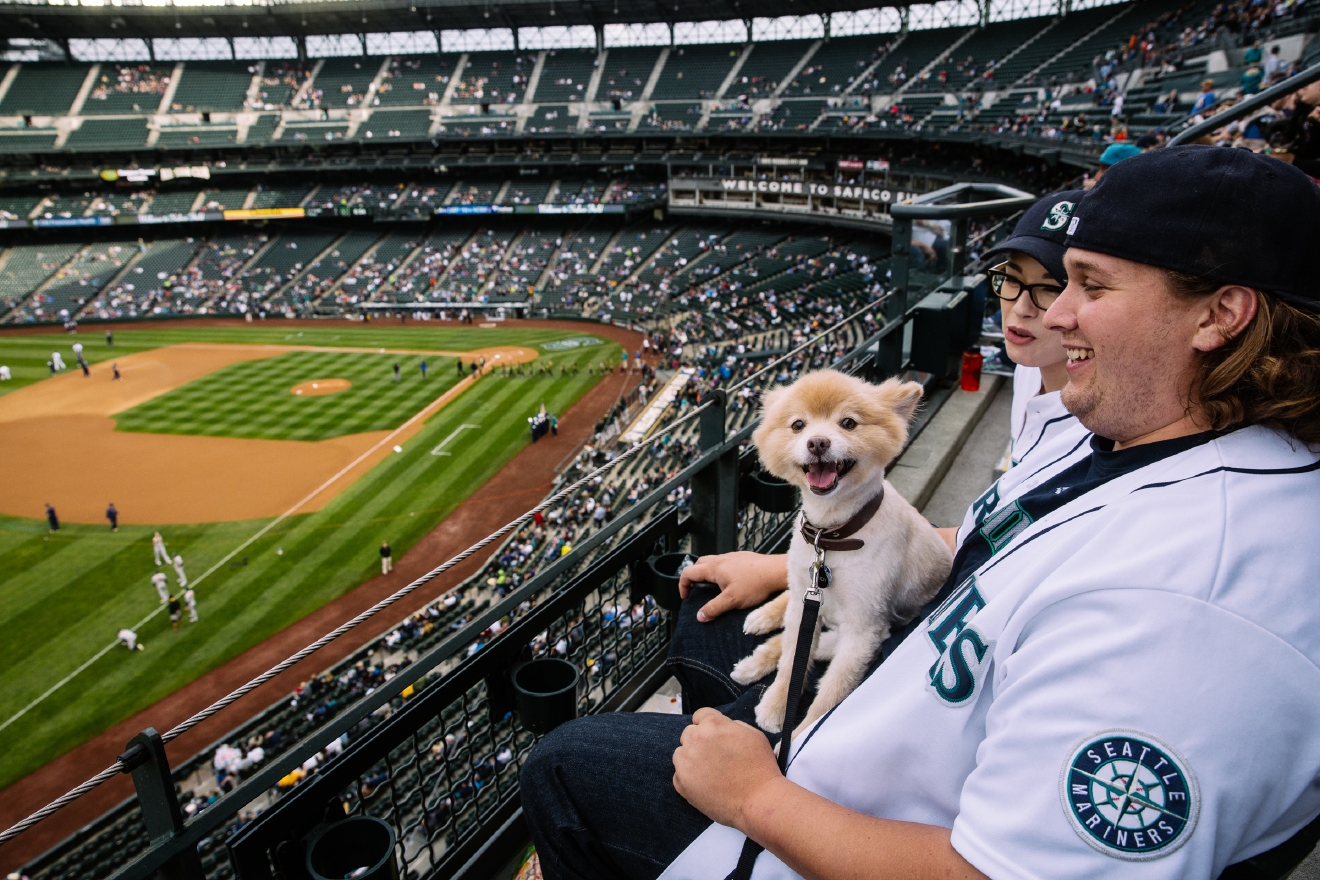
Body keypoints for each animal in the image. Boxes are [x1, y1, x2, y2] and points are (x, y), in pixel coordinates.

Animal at [739, 369, 955, 738]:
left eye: (849, 423)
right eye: (798, 425)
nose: (818, 442)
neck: (830, 537)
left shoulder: (864, 628)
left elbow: (828, 697)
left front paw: (793, 739)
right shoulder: (805, 602)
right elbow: (791, 662)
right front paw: (778, 703)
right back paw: (760, 632)